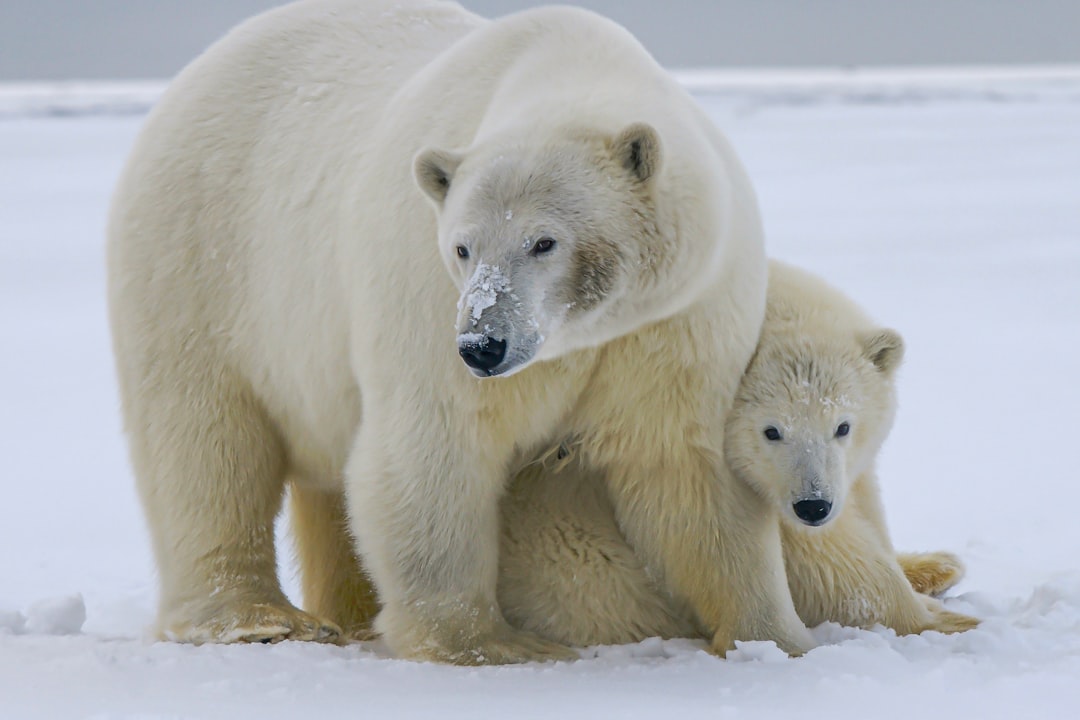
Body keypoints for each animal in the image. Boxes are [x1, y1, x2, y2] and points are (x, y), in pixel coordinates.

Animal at [106, 0, 814, 664]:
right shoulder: (424, 297)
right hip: (200, 256)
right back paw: (259, 619)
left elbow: (686, 466)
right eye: (462, 247)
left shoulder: (676, 318)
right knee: (203, 439)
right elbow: (436, 447)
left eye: (544, 241)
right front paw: (493, 645)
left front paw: (774, 638)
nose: (483, 344)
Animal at [495, 261, 980, 646]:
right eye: (771, 431)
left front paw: (934, 568)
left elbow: (864, 504)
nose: (814, 505)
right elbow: (823, 560)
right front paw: (949, 622)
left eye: (843, 426)